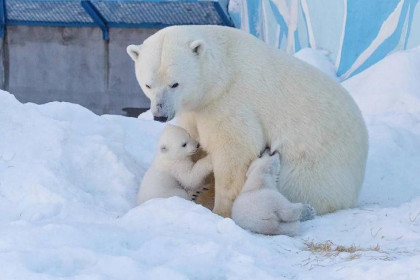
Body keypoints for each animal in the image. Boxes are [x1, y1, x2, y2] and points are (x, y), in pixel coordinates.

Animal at [127, 25, 368, 218]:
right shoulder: (196, 108)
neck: (221, 73)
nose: (160, 115)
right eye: (148, 84)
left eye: (175, 83)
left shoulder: (231, 100)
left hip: (316, 169)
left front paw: (220, 210)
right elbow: (192, 138)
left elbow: (234, 150)